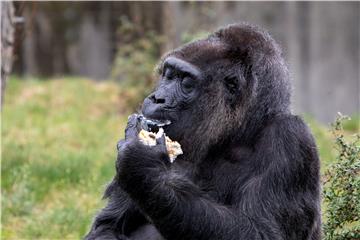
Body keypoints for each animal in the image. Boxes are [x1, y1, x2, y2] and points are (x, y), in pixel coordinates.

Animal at [84, 23, 320, 240]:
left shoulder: (290, 139)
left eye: (186, 81)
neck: (236, 135)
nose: (157, 98)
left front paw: (143, 167)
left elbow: (261, 231)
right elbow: (107, 226)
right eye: (169, 75)